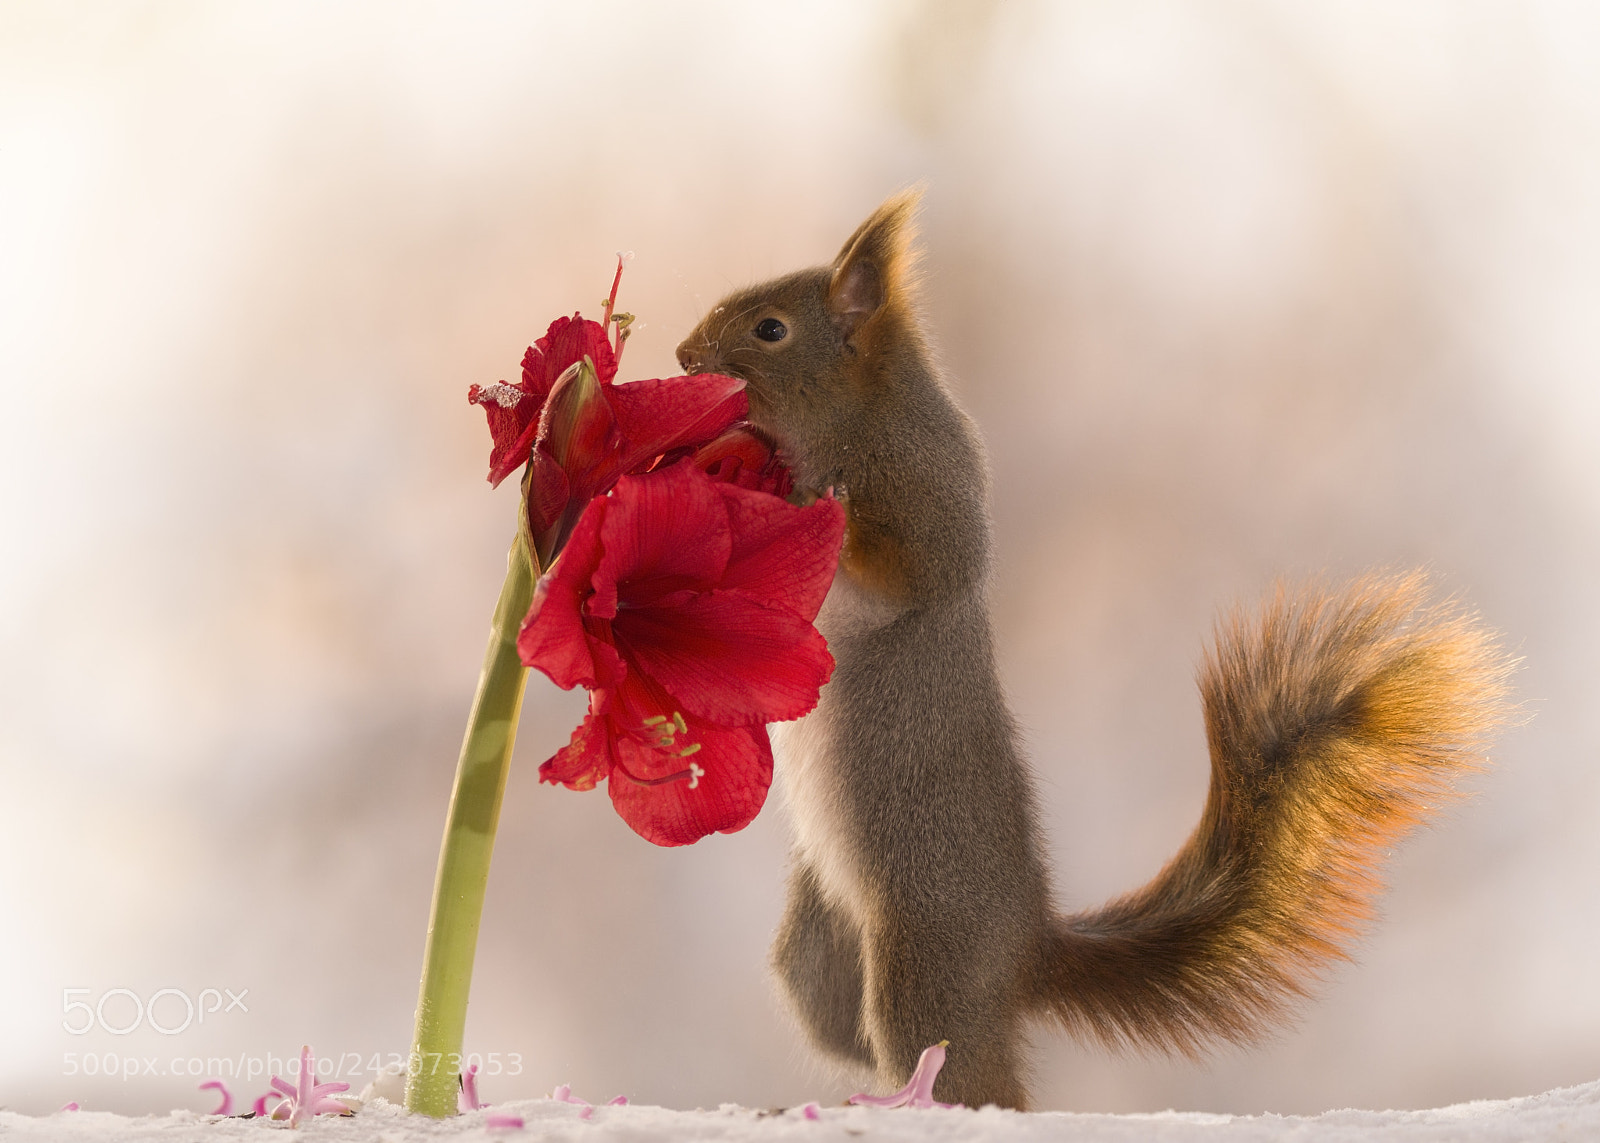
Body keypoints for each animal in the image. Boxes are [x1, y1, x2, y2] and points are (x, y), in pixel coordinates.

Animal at [673, 191, 1516, 1111]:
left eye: (770, 330)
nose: (683, 357)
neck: (861, 416)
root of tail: (1026, 949)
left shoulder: (929, 502)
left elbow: (899, 572)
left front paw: (801, 495)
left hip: (925, 952)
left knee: (972, 1078)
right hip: (823, 954)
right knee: (848, 1025)